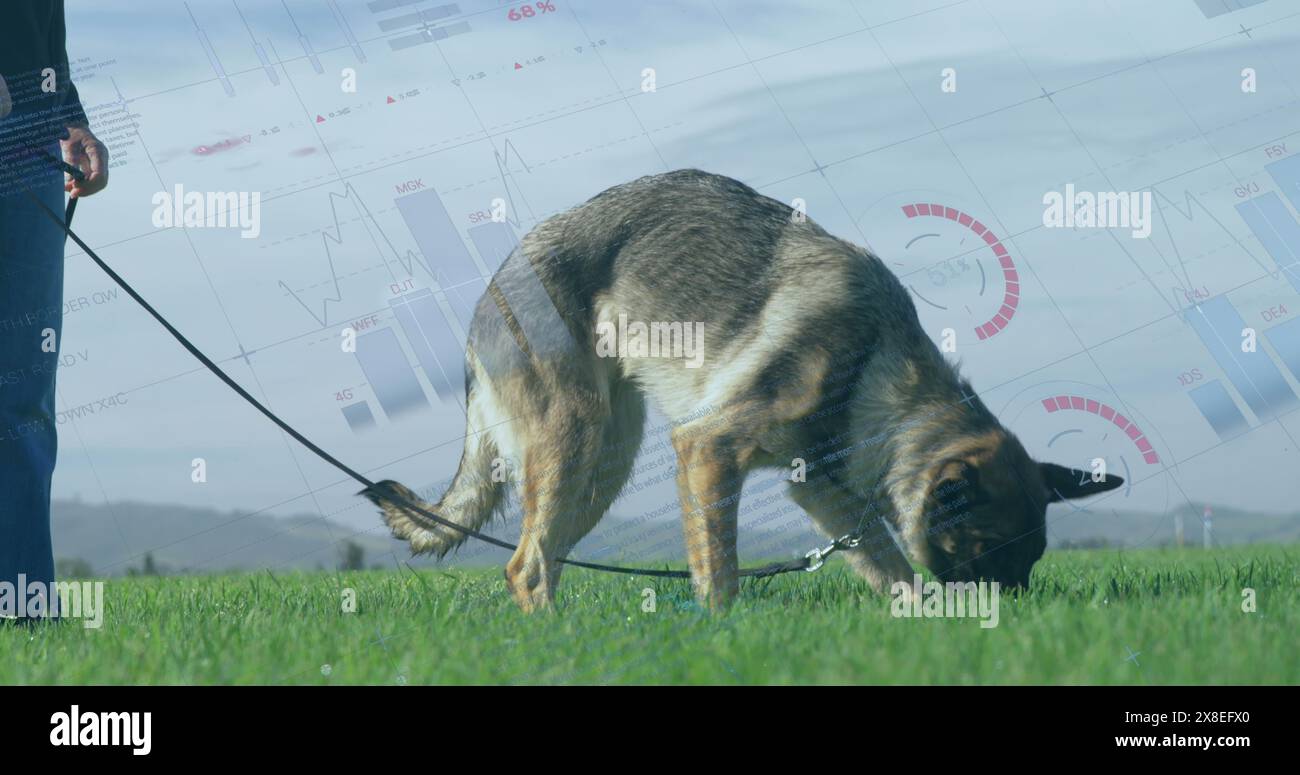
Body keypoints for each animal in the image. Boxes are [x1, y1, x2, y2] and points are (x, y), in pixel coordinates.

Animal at [361, 169, 1123, 611]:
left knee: (537, 560)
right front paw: (721, 636)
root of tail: (491, 289)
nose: (1011, 619)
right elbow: (720, 573)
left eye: (1031, 561)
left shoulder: (822, 491)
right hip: (573, 445)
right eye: (986, 551)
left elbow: (891, 570)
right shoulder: (708, 448)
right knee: (525, 566)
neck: (869, 362)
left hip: (601, 464)